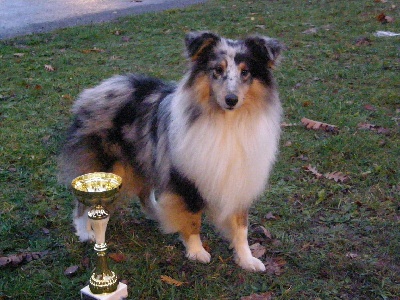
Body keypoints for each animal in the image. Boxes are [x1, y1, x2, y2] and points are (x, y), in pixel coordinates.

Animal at [58, 31, 284, 272]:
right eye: (217, 70)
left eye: (245, 72)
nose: (231, 100)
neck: (227, 122)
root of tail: (95, 91)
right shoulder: (185, 177)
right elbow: (193, 219)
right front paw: (196, 252)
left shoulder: (239, 178)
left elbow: (241, 226)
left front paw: (247, 260)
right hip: (106, 168)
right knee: (83, 205)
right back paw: (86, 232)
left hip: (145, 156)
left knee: (144, 193)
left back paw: (158, 214)